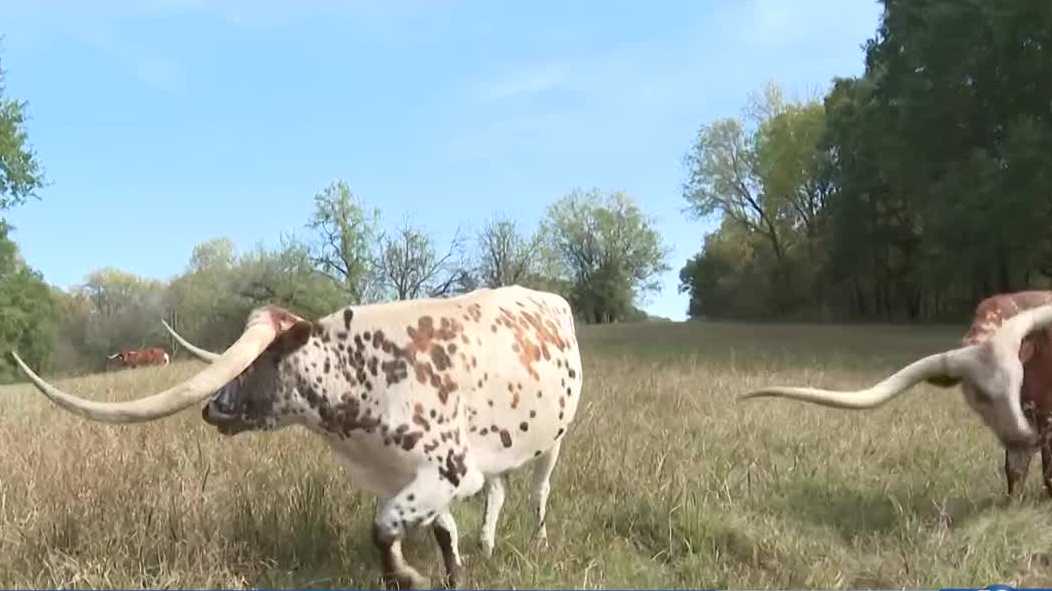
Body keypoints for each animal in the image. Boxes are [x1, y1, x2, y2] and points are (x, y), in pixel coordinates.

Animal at [10, 286, 583, 589]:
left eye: (261, 360)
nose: (211, 408)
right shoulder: (408, 477)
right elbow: (442, 534)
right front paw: (447, 573)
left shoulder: (447, 471)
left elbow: (383, 528)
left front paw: (410, 576)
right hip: (503, 447)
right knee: (499, 490)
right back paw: (488, 541)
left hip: (553, 442)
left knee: (538, 492)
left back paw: (539, 539)